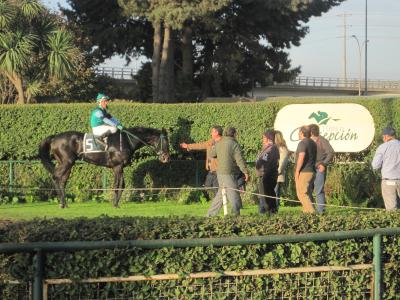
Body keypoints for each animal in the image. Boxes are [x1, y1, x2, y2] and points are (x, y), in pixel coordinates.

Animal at [40, 127, 170, 209]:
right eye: (165, 142)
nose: (166, 158)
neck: (126, 141)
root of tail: (54, 137)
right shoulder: (117, 166)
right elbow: (117, 185)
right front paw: (115, 204)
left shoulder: (119, 167)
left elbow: (122, 185)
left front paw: (116, 203)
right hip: (66, 162)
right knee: (55, 177)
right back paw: (62, 203)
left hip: (66, 164)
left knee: (62, 181)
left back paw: (64, 203)